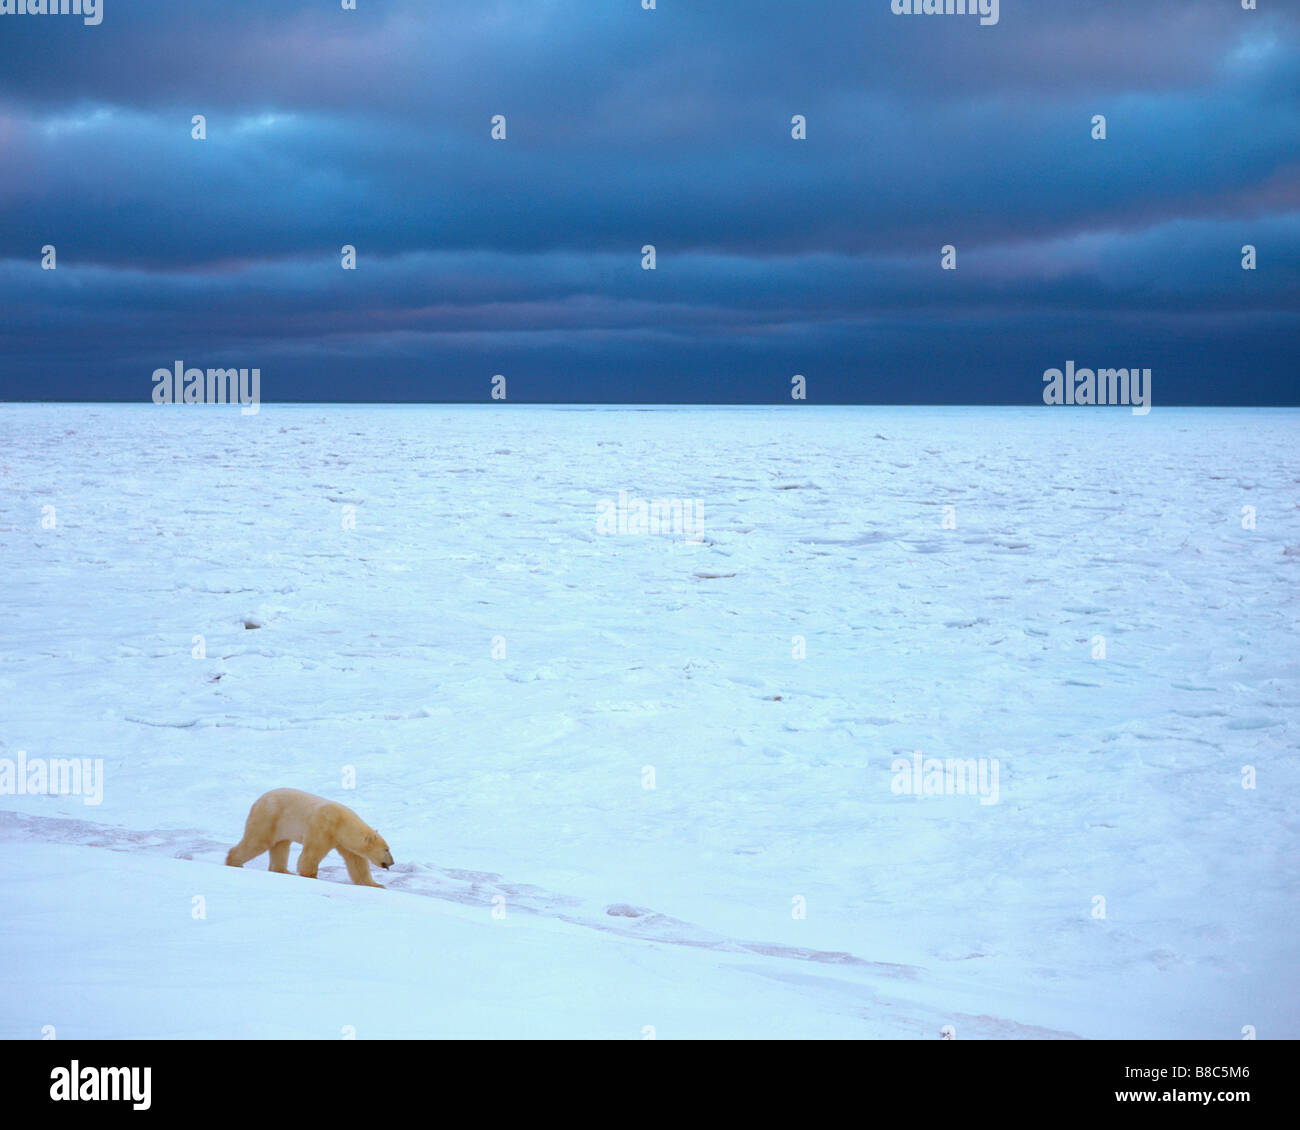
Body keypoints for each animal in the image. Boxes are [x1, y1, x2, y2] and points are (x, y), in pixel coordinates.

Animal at [225, 788, 394, 888]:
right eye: (386, 849)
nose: (392, 862)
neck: (341, 823)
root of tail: (258, 800)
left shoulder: (344, 842)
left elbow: (358, 864)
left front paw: (376, 885)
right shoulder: (323, 827)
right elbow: (311, 853)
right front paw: (311, 875)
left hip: (281, 825)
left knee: (281, 846)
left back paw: (284, 871)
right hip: (269, 817)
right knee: (257, 841)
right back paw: (234, 862)